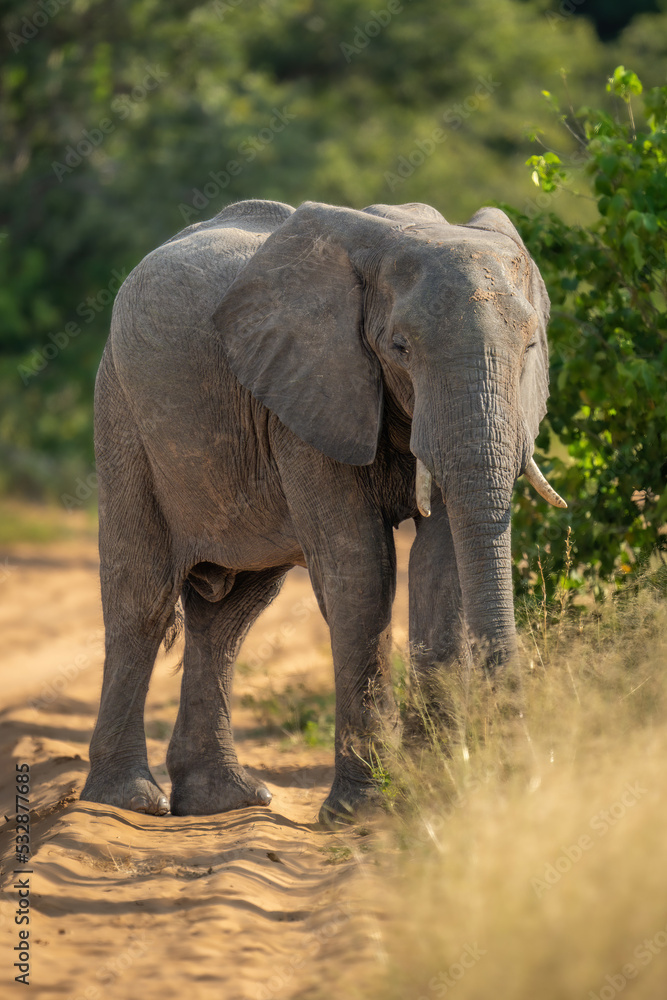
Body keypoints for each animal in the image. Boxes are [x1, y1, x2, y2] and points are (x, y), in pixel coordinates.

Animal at [80, 198, 566, 824]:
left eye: (531, 347)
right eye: (400, 347)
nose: (524, 780)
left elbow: (439, 568)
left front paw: (433, 800)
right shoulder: (307, 393)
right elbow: (360, 571)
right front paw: (366, 811)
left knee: (231, 616)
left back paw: (226, 799)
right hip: (121, 412)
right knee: (141, 600)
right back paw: (129, 801)